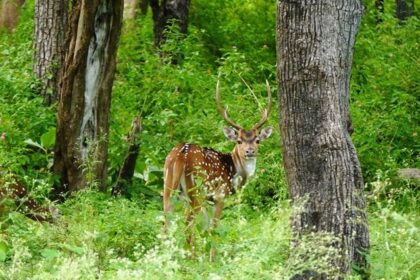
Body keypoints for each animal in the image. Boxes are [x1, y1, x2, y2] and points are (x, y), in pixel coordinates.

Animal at [162, 81, 274, 236]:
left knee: (166, 223)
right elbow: (213, 228)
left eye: (257, 140)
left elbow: (206, 228)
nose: (250, 151)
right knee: (188, 226)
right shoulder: (220, 196)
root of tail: (180, 156)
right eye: (239, 141)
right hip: (196, 190)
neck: (235, 172)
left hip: (168, 186)